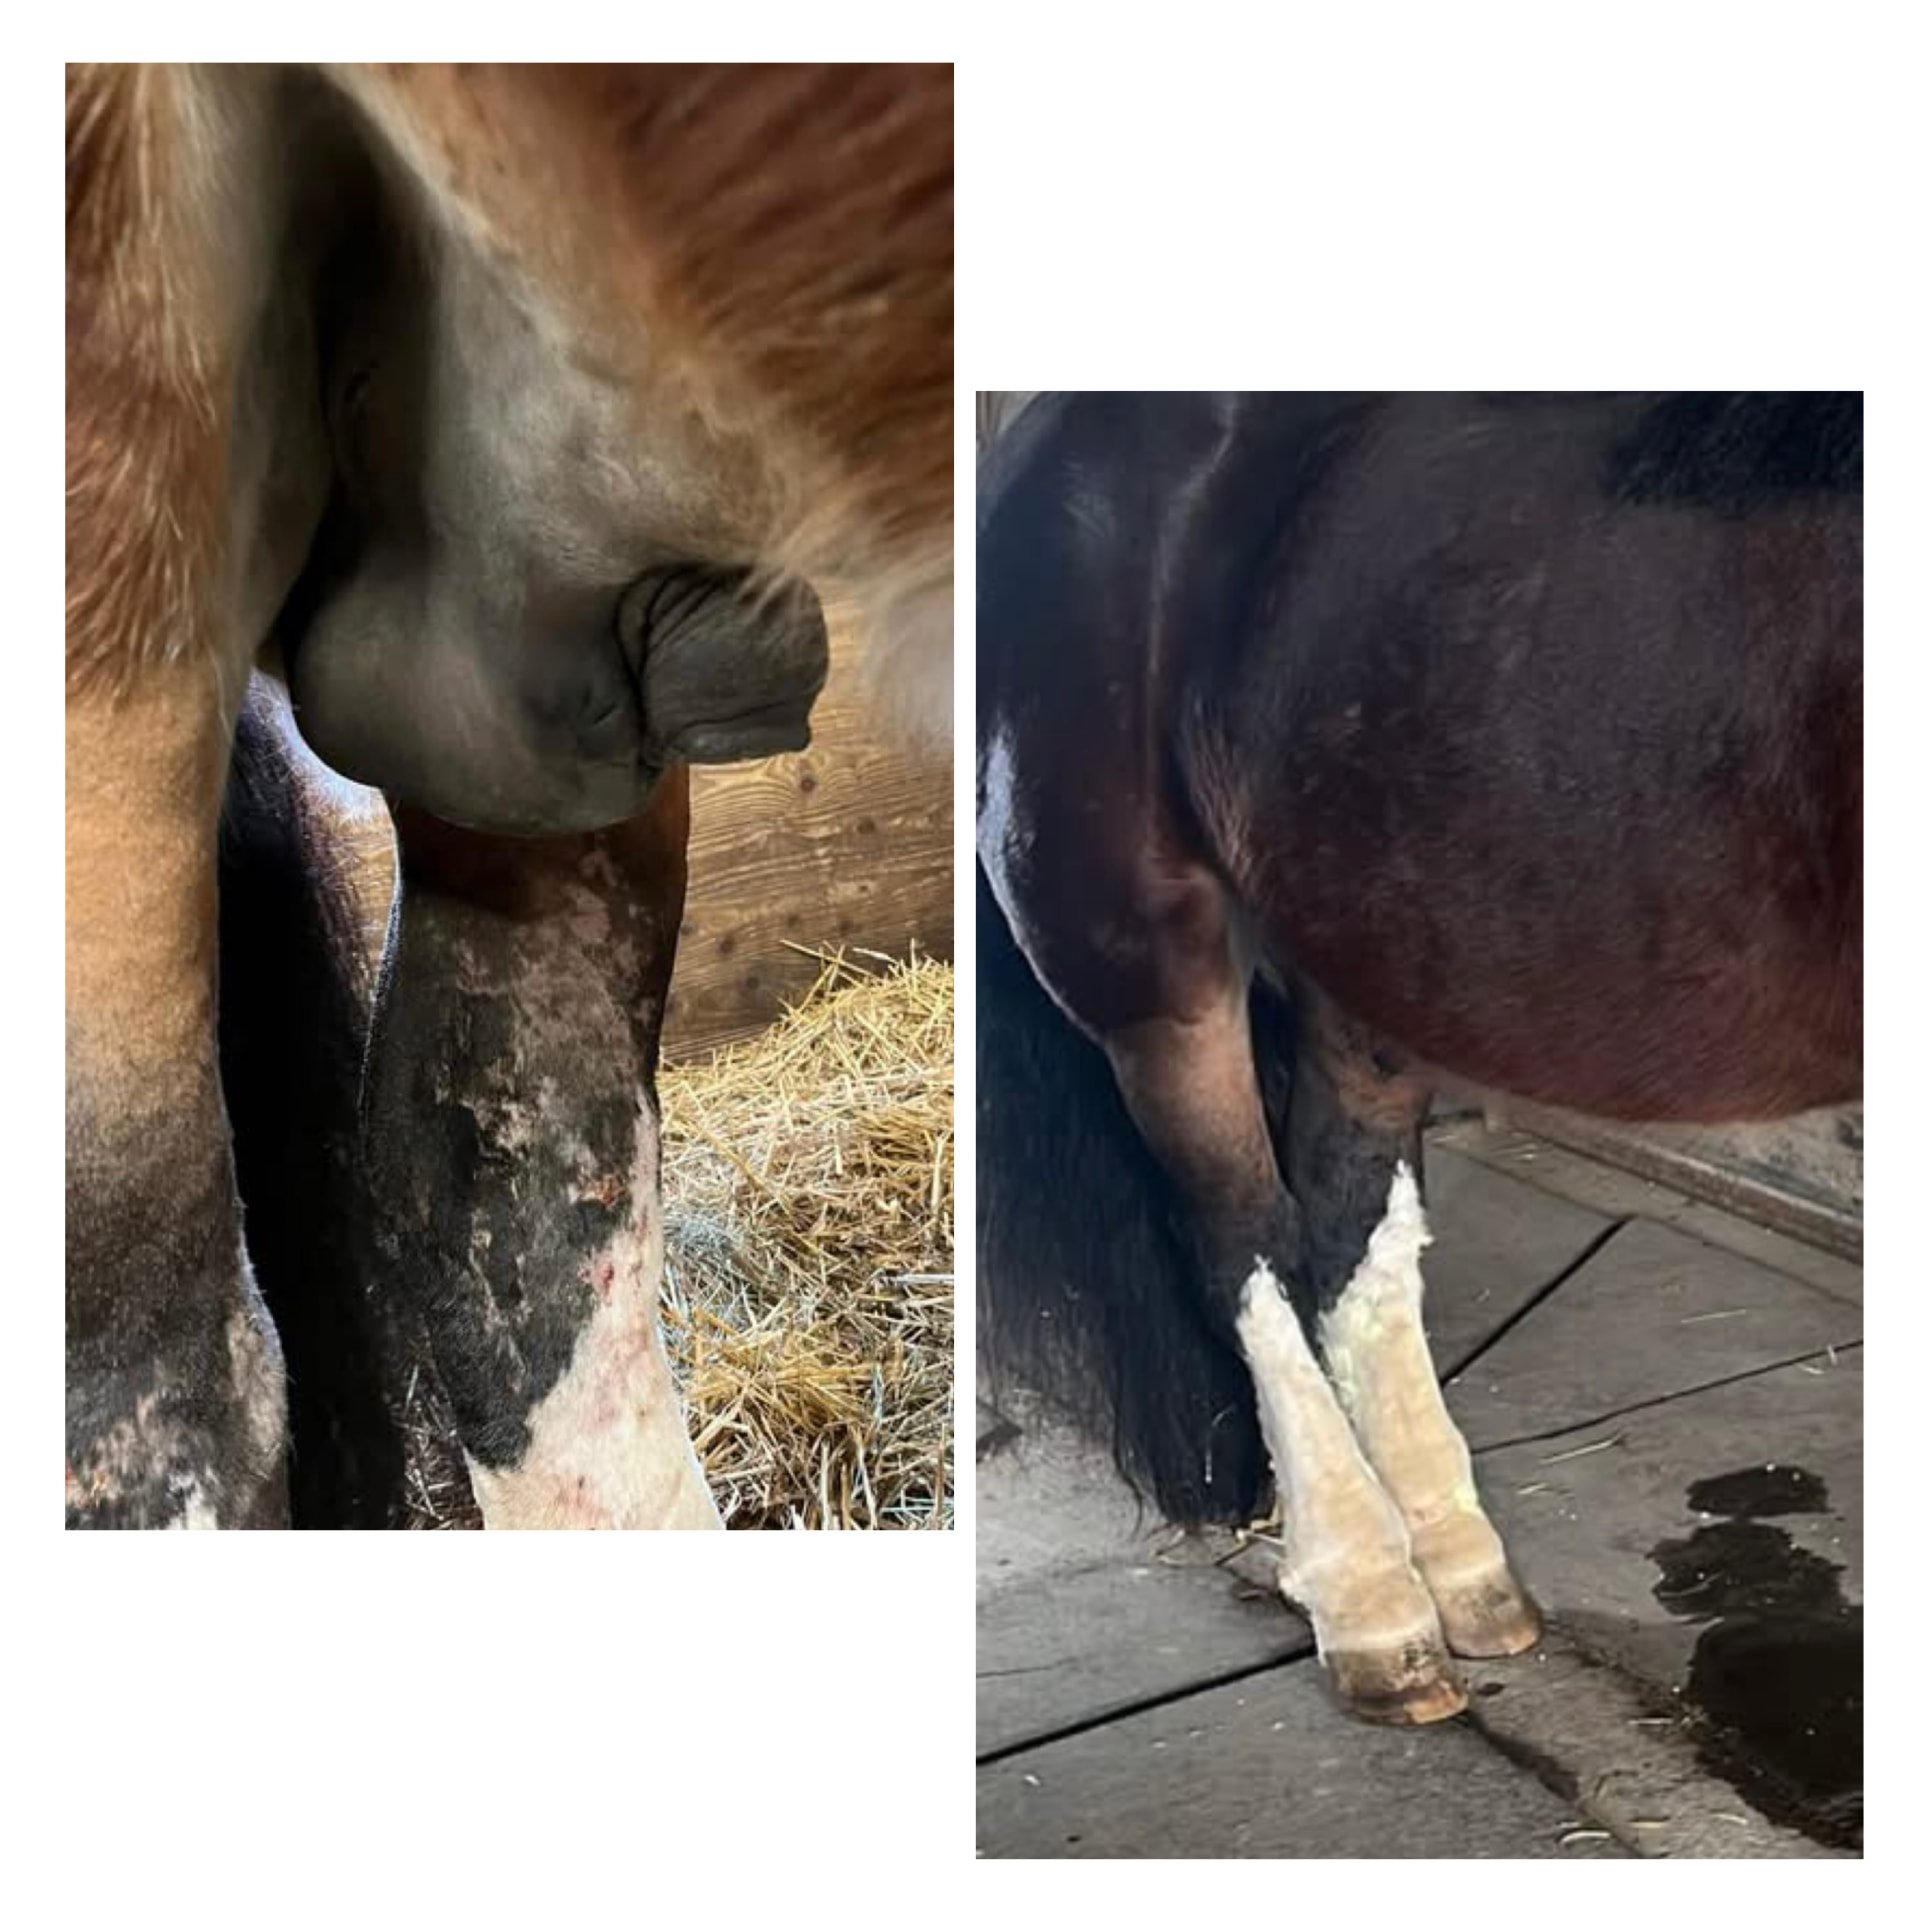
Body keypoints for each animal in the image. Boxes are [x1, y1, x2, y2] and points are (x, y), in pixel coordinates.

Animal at [976, 391, 1860, 1721]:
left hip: (1369, 955)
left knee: (1350, 1230)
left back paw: (1461, 1575)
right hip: (1158, 985)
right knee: (1243, 1243)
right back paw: (1371, 1610)